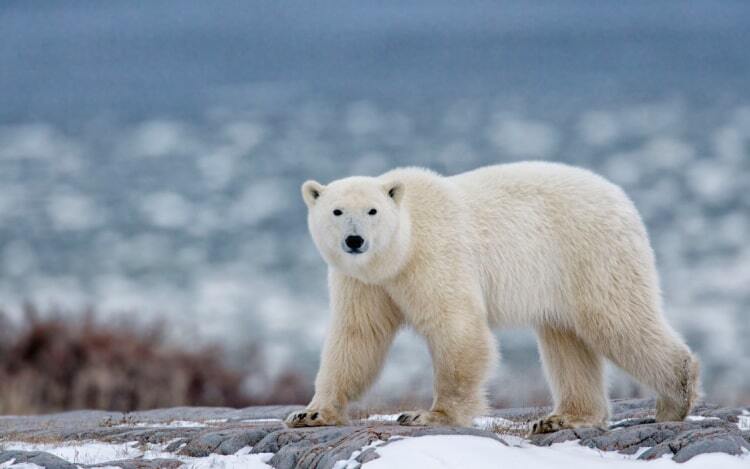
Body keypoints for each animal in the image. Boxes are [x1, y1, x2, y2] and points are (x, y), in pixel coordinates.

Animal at [284, 162, 704, 432]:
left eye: (372, 210)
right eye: (337, 211)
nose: (355, 240)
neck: (401, 249)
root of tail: (622, 198)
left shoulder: (435, 256)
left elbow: (456, 327)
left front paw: (428, 415)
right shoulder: (363, 282)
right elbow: (357, 337)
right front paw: (310, 414)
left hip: (590, 253)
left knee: (617, 321)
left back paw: (674, 398)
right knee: (565, 339)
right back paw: (562, 418)